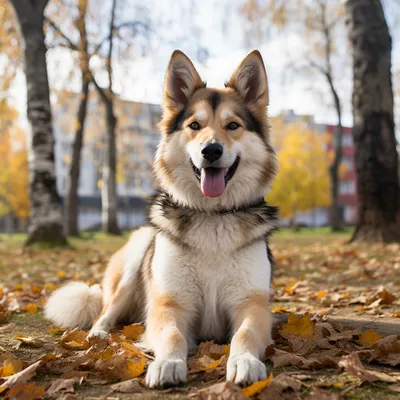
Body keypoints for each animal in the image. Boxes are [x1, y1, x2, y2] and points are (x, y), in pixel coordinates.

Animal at [44, 49, 278, 388]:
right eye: (195, 125)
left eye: (233, 125)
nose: (211, 150)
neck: (212, 217)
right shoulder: (168, 304)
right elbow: (172, 335)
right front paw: (167, 363)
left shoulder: (252, 303)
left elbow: (244, 334)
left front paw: (245, 361)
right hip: (135, 262)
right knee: (106, 311)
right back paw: (99, 334)